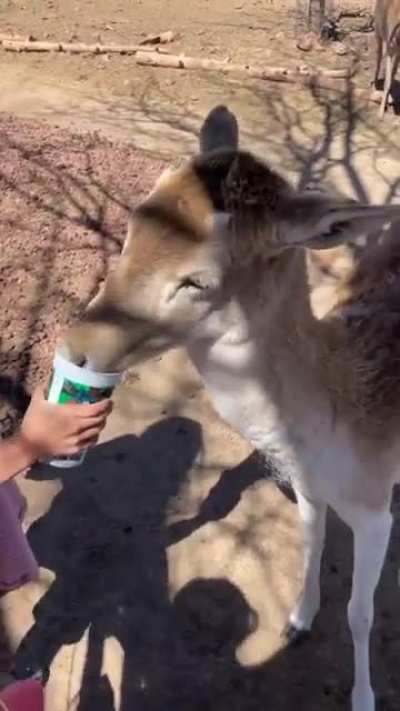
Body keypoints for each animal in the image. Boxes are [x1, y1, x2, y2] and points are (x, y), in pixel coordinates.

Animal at [62, 105, 400, 711]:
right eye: (134, 222)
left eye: (198, 280)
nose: (78, 345)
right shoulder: (306, 486)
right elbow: (311, 543)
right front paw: (297, 621)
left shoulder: (375, 506)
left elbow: (360, 614)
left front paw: (364, 698)